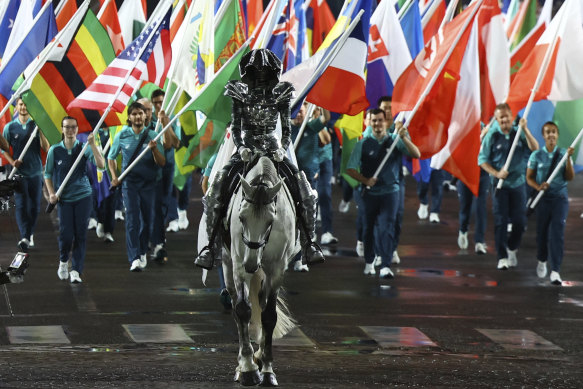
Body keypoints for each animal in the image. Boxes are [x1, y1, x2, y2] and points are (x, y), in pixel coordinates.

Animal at [221, 155, 298, 384]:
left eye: (271, 220)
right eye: (241, 218)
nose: (251, 264)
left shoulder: (277, 268)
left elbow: (269, 316)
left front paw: (267, 370)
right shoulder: (238, 265)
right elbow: (243, 311)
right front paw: (248, 369)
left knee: (263, 303)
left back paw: (260, 356)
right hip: (228, 265)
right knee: (236, 308)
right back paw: (243, 363)